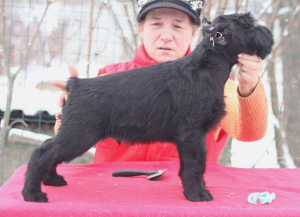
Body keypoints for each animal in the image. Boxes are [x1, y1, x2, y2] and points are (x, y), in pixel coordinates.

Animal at [21, 12, 274, 203]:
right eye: (246, 25)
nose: (268, 33)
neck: (205, 68)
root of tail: (76, 84)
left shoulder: (188, 139)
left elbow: (190, 166)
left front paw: (192, 190)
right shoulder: (192, 135)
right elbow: (195, 166)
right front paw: (198, 194)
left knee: (50, 150)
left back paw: (52, 180)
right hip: (79, 136)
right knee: (42, 152)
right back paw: (33, 193)